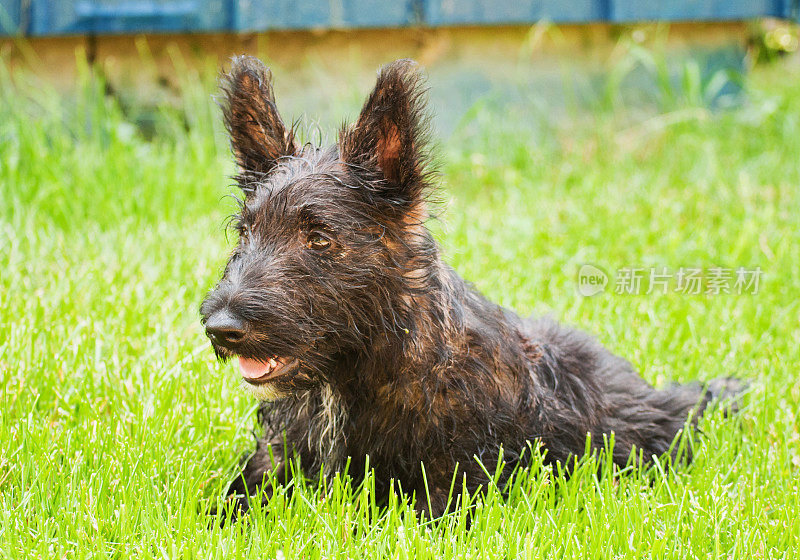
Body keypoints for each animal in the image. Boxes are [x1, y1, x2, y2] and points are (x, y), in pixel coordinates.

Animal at [202, 55, 744, 516]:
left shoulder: (450, 489)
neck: (366, 365)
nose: (221, 327)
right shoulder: (276, 459)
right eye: (246, 232)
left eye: (318, 237)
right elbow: (226, 507)